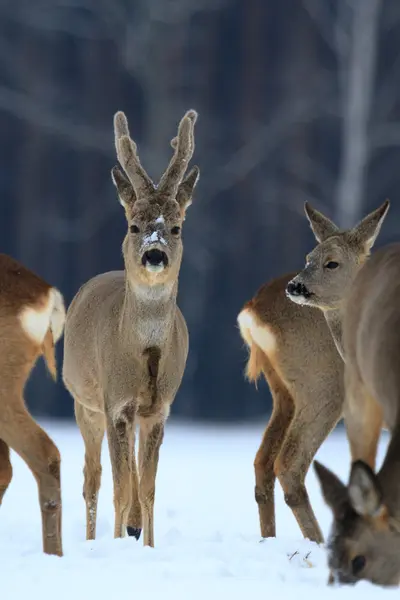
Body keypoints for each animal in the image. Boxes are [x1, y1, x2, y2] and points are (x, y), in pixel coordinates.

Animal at [63, 109, 200, 548]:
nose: (154, 255)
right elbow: (122, 487)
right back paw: (94, 540)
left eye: (176, 227)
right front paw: (122, 541)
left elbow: (150, 487)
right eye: (134, 226)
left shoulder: (159, 408)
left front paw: (148, 544)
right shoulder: (114, 403)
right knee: (92, 480)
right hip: (83, 403)